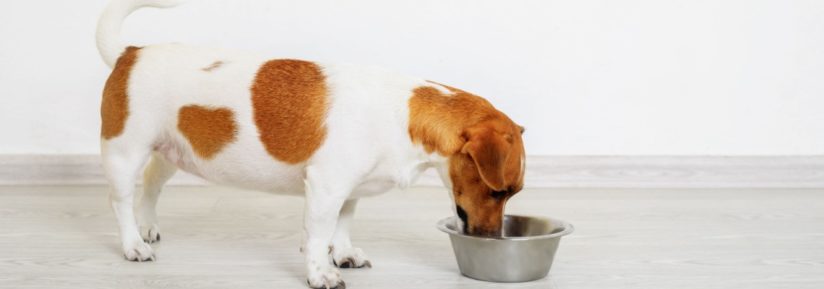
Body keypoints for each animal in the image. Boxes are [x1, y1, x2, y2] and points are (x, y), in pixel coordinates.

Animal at [93, 0, 524, 286]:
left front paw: (344, 253)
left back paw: (148, 227)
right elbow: (318, 236)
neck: (403, 115)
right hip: (125, 154)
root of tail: (129, 54)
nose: (492, 239)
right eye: (498, 191)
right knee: (121, 203)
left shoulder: (350, 192)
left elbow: (343, 225)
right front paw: (321, 272)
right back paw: (134, 244)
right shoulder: (325, 188)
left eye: (510, 193)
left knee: (151, 186)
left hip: (172, 152)